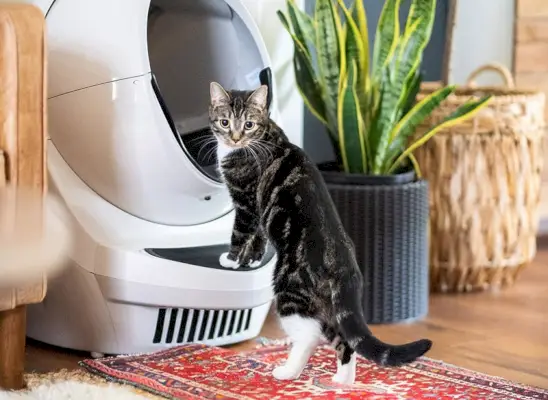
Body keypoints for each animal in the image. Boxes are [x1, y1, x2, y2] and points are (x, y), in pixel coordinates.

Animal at [208, 81, 430, 384]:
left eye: (249, 124)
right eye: (224, 121)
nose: (235, 136)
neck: (263, 135)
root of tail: (345, 268)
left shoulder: (246, 203)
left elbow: (240, 234)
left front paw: (230, 260)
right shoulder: (259, 213)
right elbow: (258, 237)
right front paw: (250, 260)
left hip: (289, 290)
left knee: (309, 337)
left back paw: (288, 371)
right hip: (327, 305)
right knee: (344, 340)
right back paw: (341, 382)